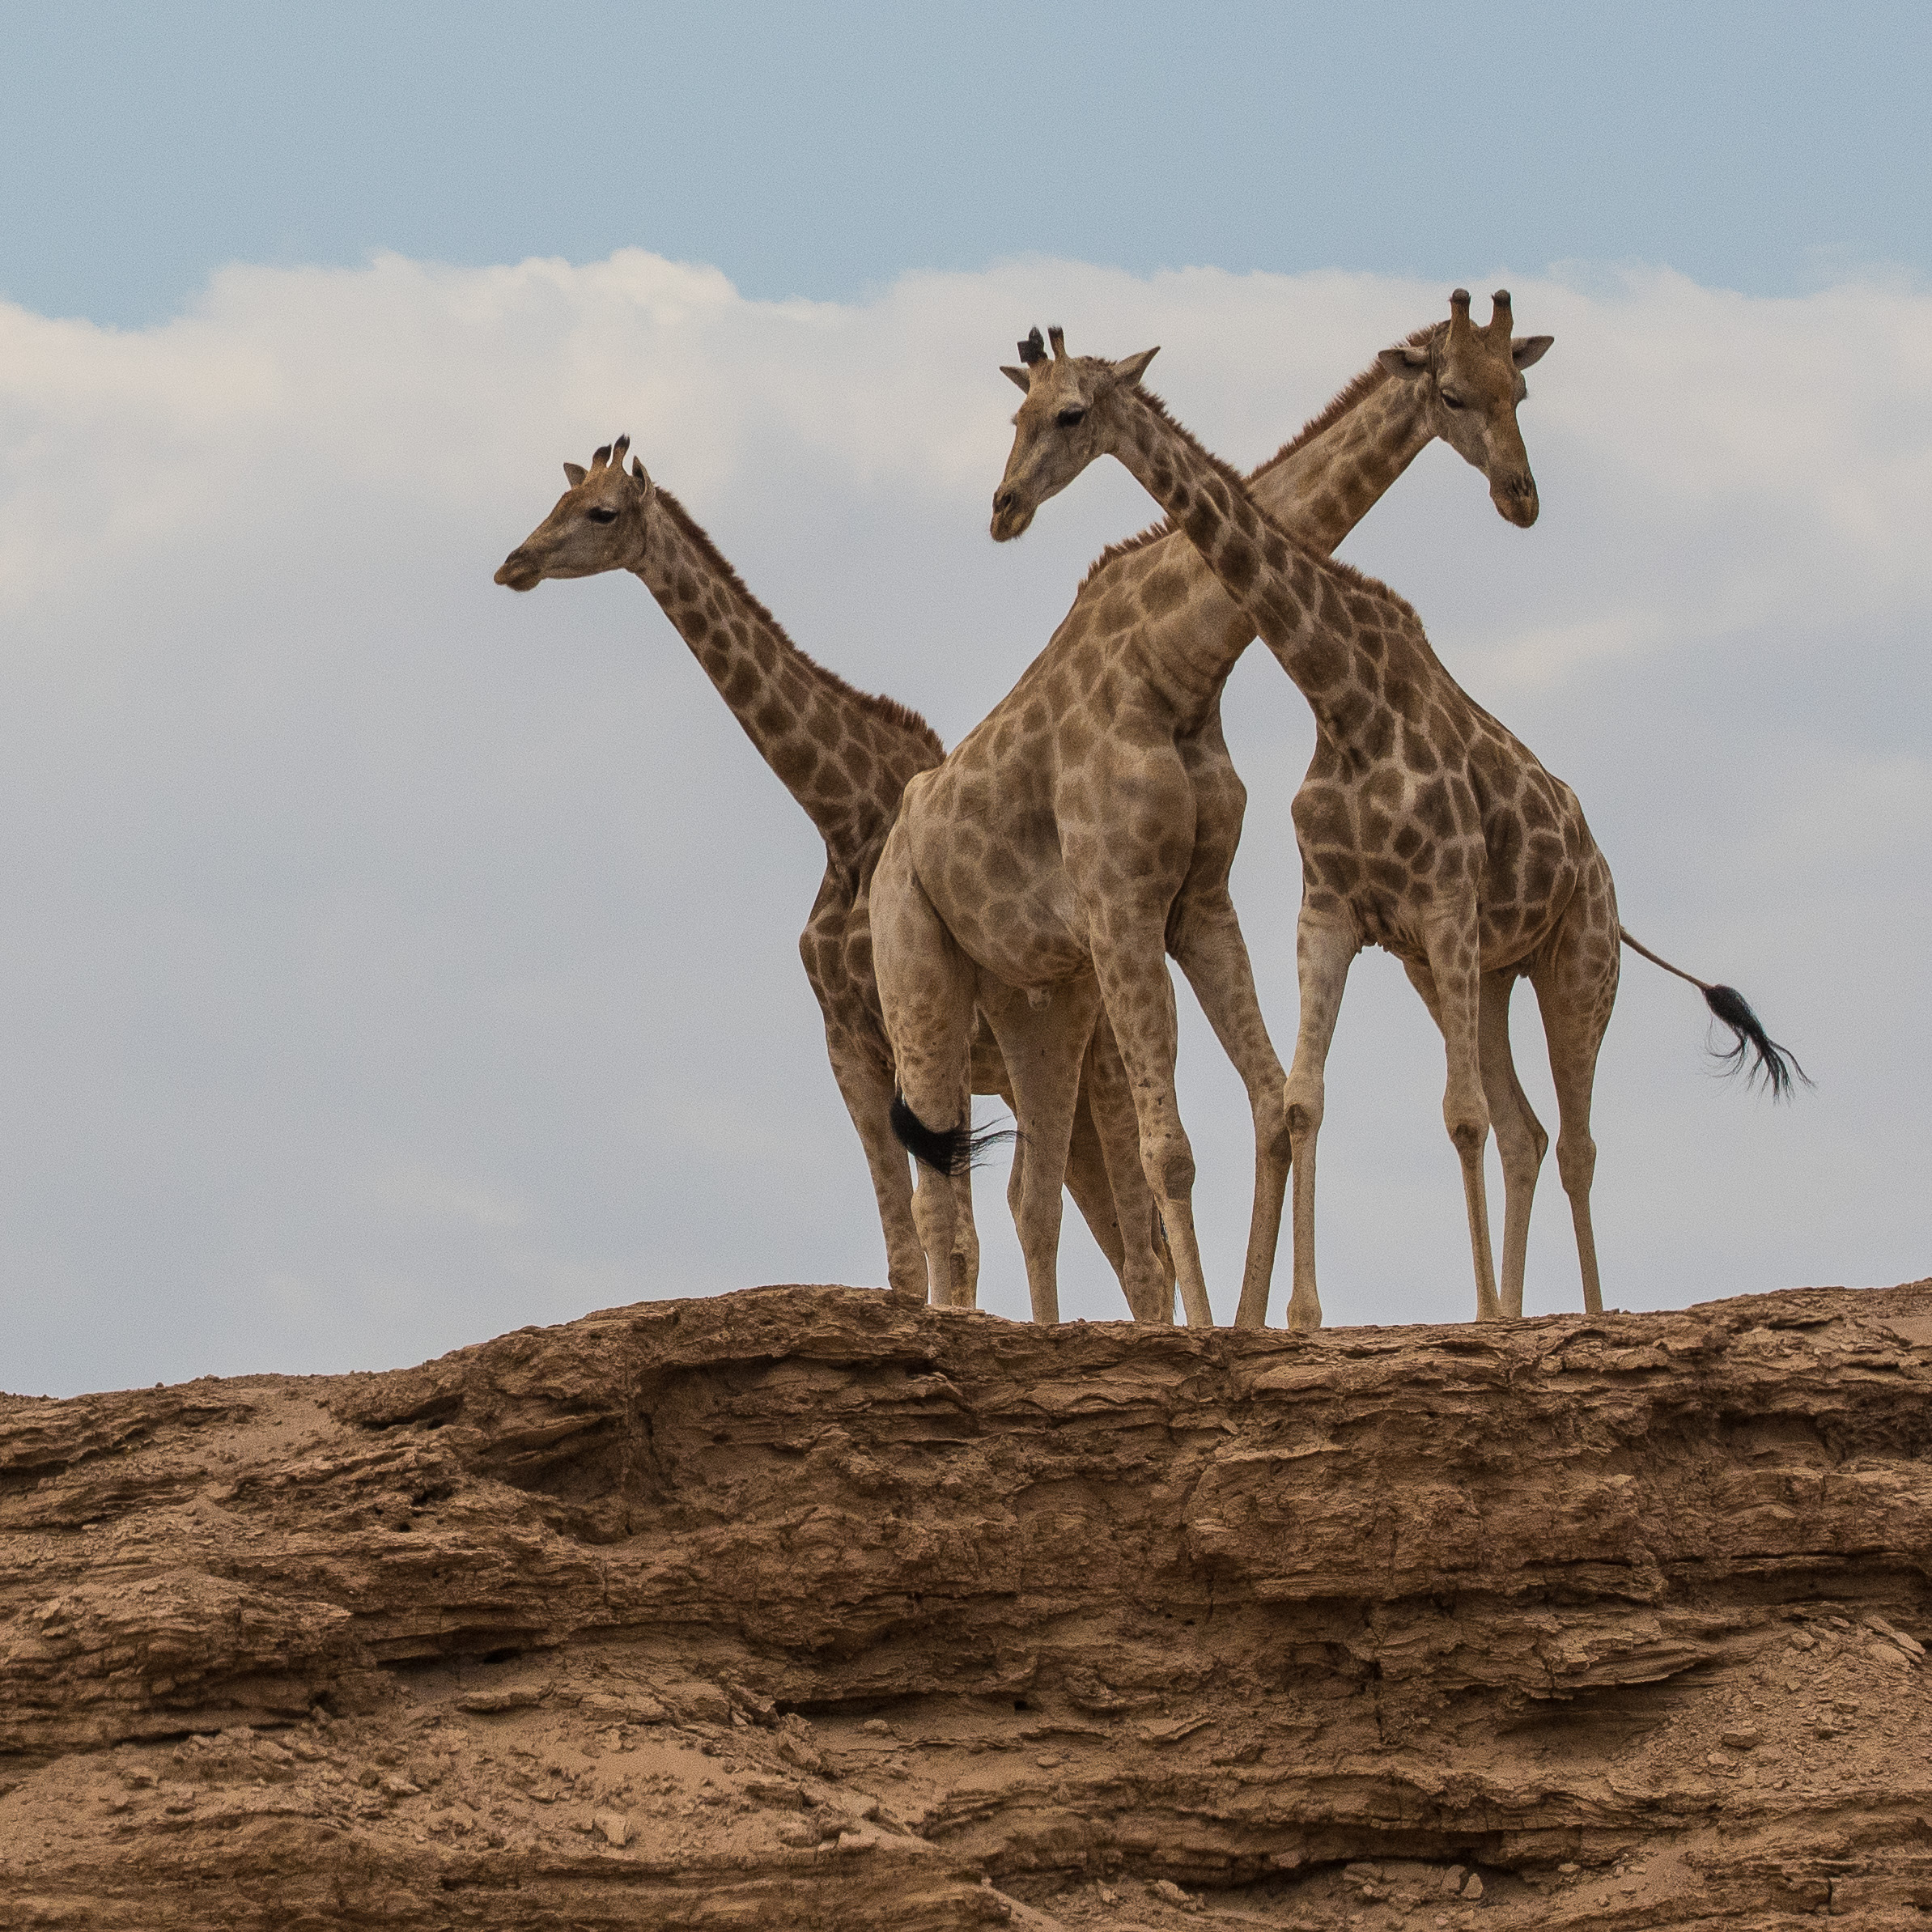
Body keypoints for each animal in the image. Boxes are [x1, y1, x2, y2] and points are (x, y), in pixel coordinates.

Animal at [490, 438, 1166, 1314]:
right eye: (557, 502)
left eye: (601, 512)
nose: (515, 563)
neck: (841, 818)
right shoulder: (846, 1045)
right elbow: (905, 1251)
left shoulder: (917, 1031)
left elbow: (951, 1234)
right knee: (1114, 1237)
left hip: (1103, 1059)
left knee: (1145, 1249)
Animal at [869, 293, 1560, 1329]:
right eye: (1448, 391)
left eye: (1514, 388)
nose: (1520, 496)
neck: (1178, 668)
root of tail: (884, 853)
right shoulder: (1122, 909)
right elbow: (1170, 1149)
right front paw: (1201, 1328)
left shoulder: (1197, 902)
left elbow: (1271, 1102)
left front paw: (1244, 1318)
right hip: (917, 970)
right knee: (938, 1192)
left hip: (1038, 997)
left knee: (1026, 1191)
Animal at [989, 316, 1800, 1329]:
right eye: (1019, 411)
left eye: (1071, 412)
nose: (1003, 505)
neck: (1343, 697)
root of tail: (1602, 875)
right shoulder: (1333, 912)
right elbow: (1305, 1099)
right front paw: (1303, 1318)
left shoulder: (1444, 903)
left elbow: (1457, 1114)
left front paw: (1476, 1310)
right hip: (1480, 973)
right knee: (1528, 1129)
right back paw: (1515, 1307)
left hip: (1574, 962)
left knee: (1574, 1140)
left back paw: (1581, 1311)